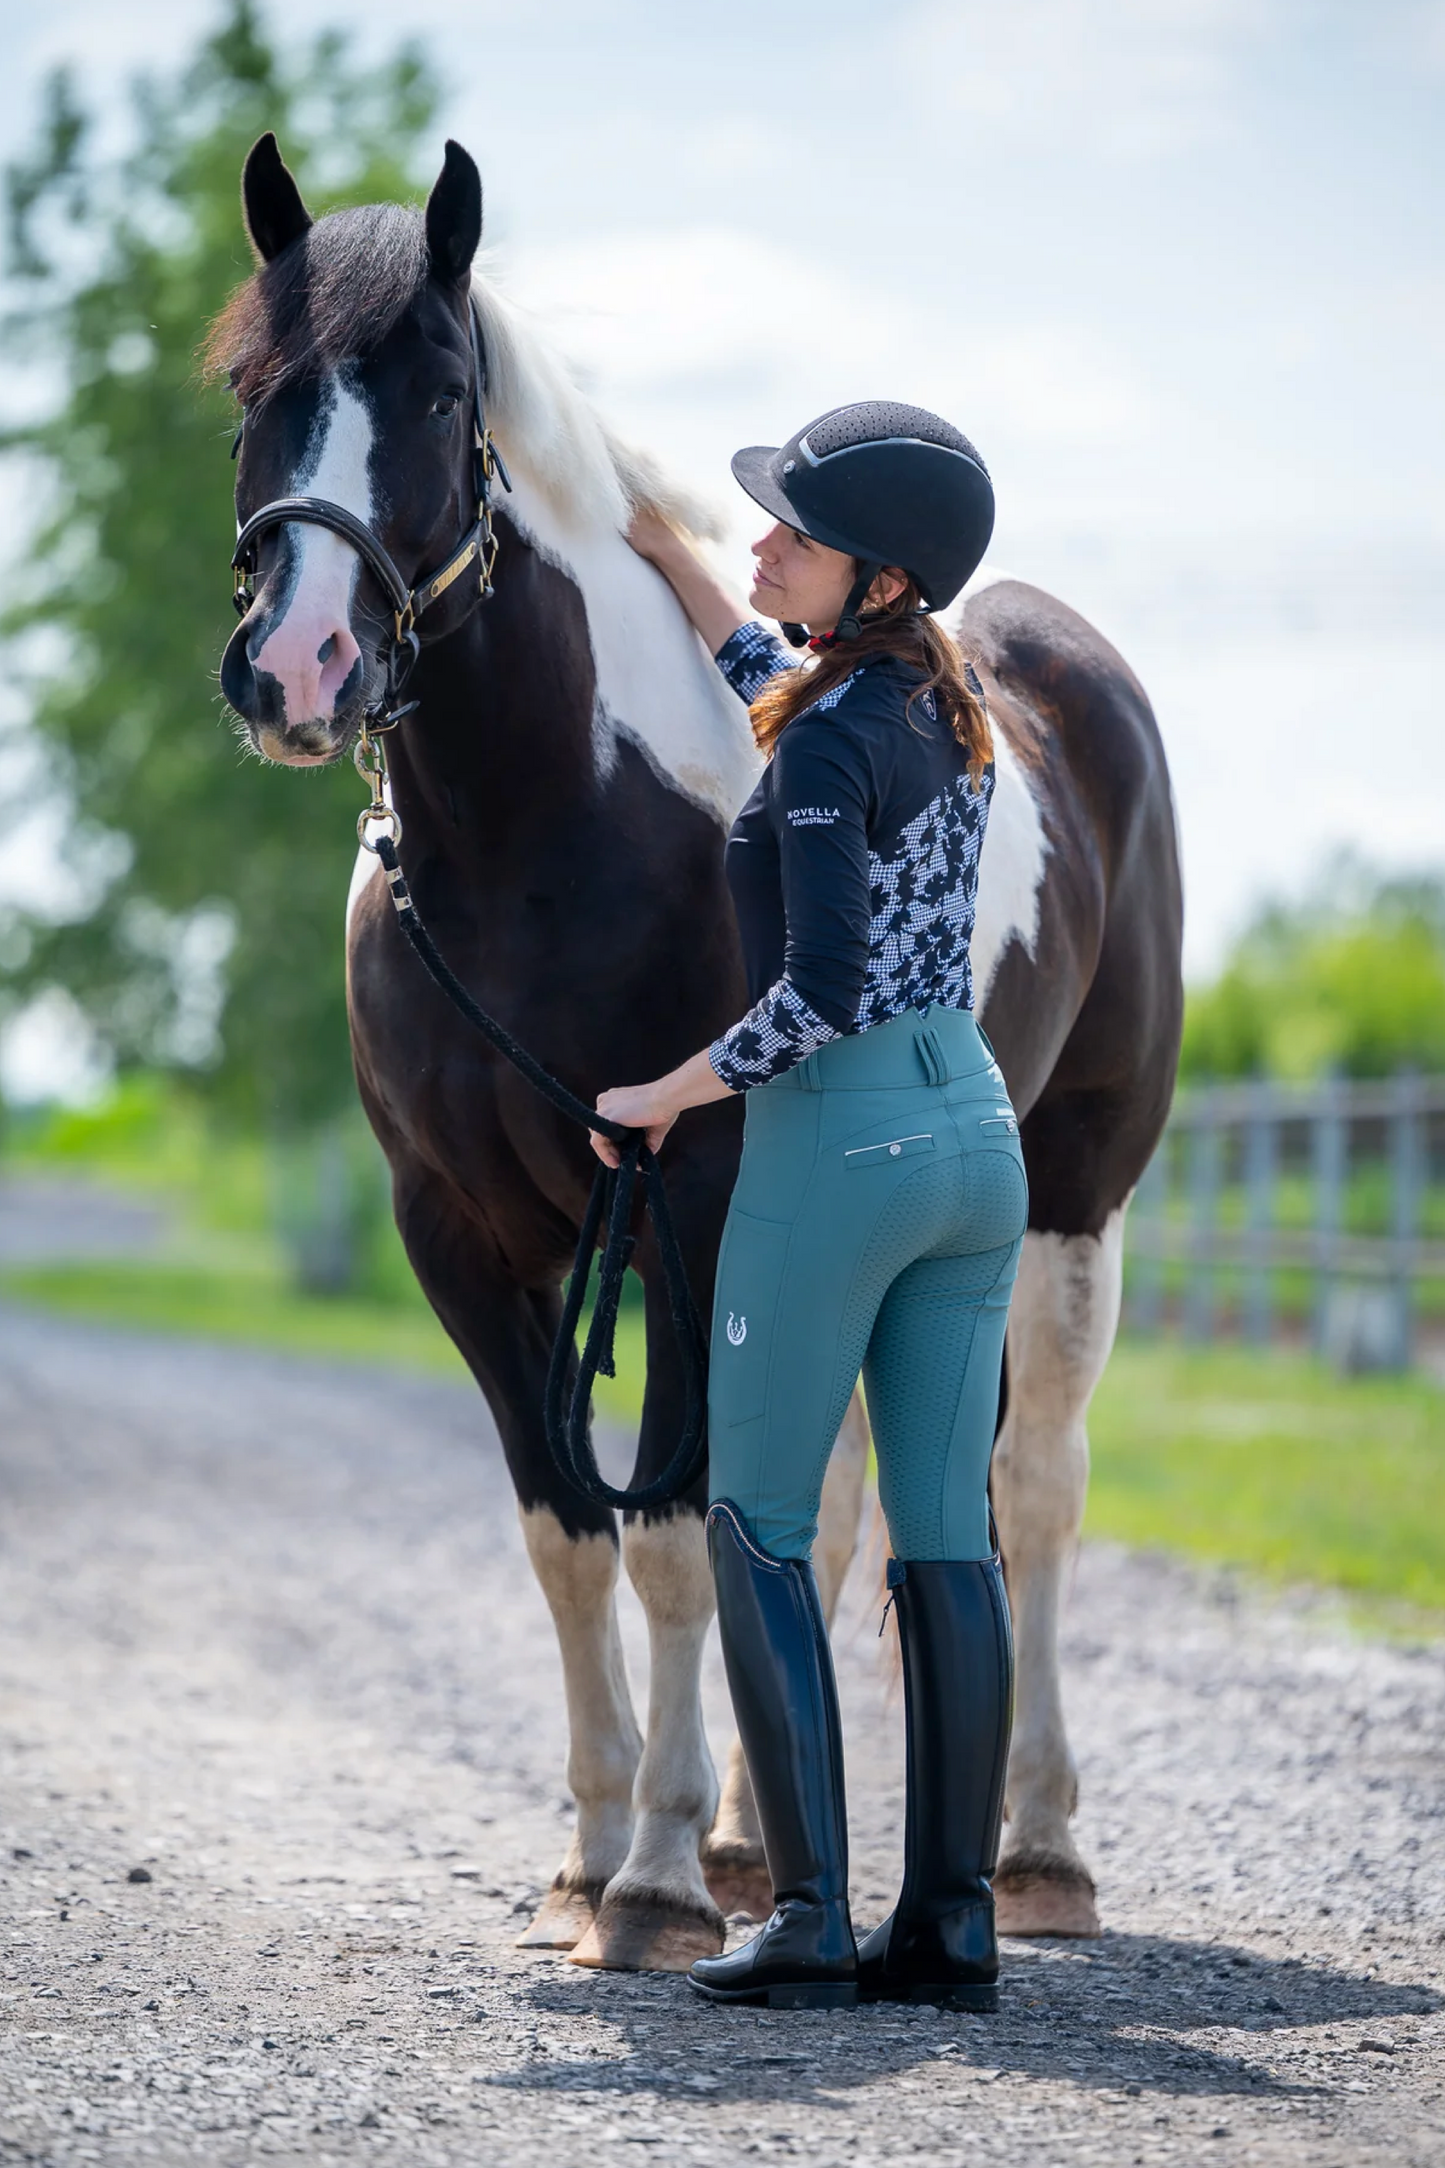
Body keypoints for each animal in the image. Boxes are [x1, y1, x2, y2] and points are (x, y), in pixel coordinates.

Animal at [214, 131, 1187, 1968]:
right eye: (253, 388)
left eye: (442, 394)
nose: (300, 666)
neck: (549, 835)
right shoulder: (461, 1236)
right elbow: (569, 1535)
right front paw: (595, 1854)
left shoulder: (687, 1203)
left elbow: (670, 1538)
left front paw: (654, 1880)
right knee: (835, 1498)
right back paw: (761, 1842)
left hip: (1072, 1198)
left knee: (1033, 1488)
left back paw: (1033, 1850)